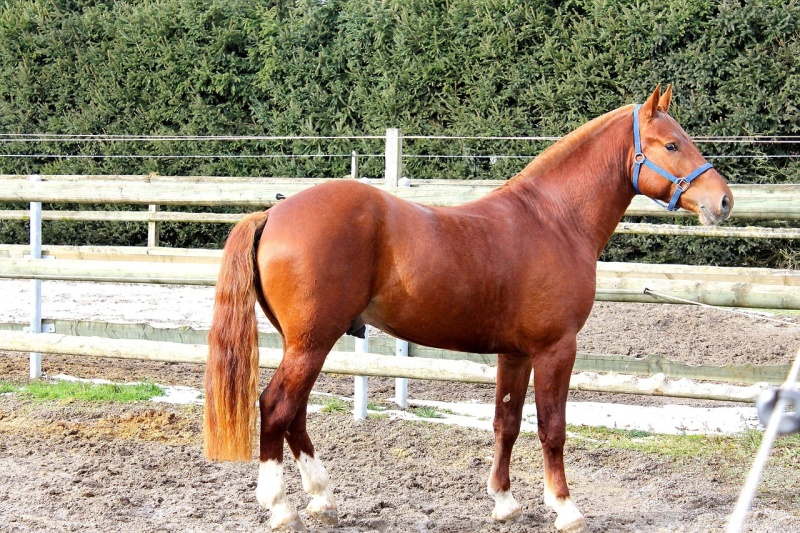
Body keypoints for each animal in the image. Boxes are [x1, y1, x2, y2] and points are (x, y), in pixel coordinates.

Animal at [203, 85, 733, 532]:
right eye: (671, 145)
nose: (724, 201)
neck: (554, 220)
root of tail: (273, 212)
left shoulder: (515, 354)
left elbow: (507, 423)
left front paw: (504, 502)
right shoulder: (556, 349)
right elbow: (553, 428)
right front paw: (565, 508)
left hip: (305, 344)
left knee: (294, 414)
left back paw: (322, 498)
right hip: (312, 343)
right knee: (276, 407)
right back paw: (281, 507)